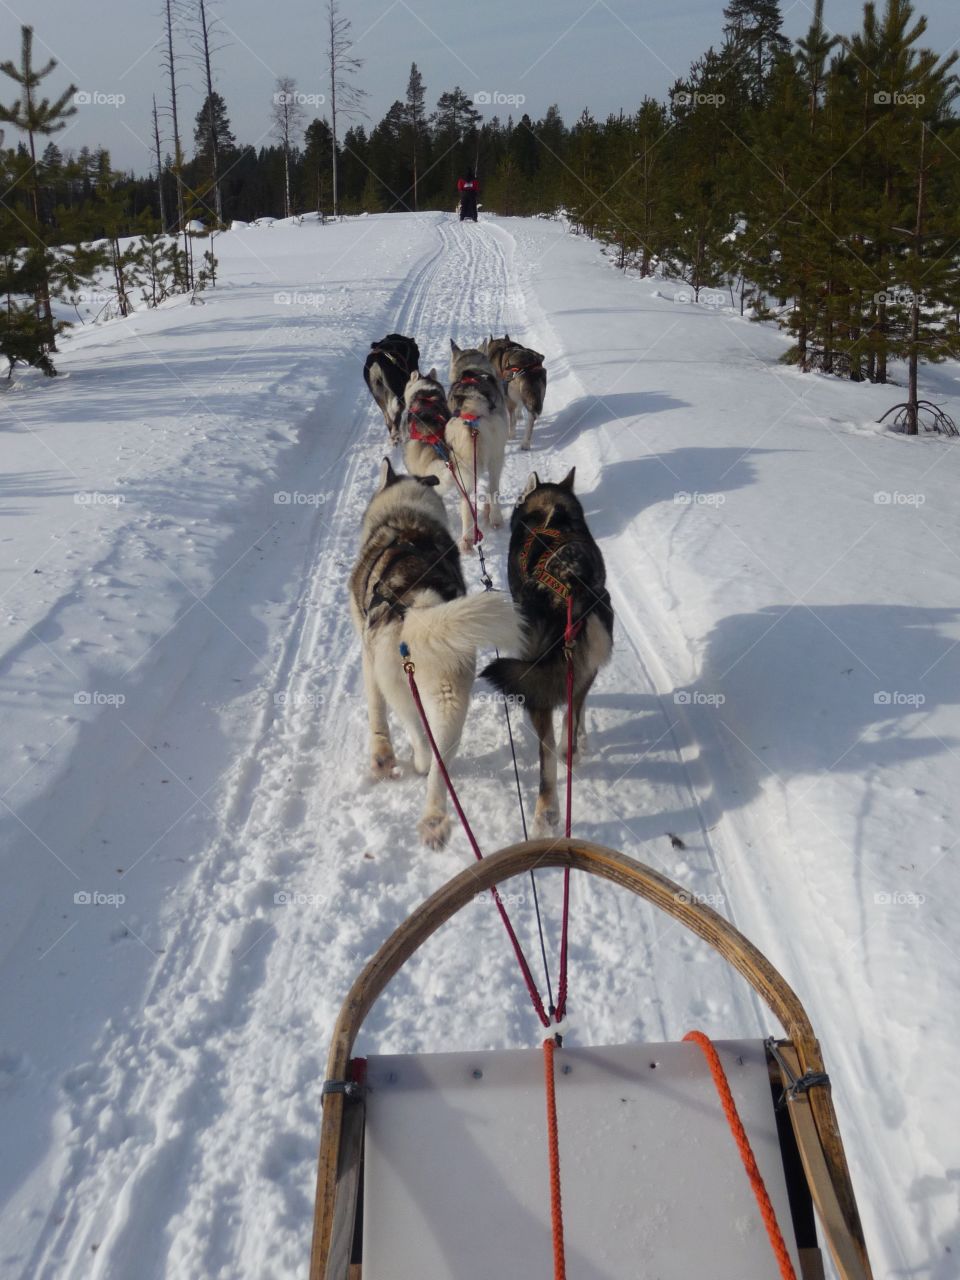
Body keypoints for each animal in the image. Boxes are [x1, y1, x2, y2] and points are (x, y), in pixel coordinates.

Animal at [350, 460, 522, 849]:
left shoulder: (368, 655)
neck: (404, 516)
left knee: (419, 738)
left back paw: (414, 766)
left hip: (403, 690)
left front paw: (381, 755)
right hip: (449, 698)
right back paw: (434, 819)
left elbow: (376, 713)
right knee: (440, 762)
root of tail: (418, 607)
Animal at [483, 468, 611, 829]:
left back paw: (546, 808)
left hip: (536, 679)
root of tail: (569, 582)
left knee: (549, 750)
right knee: (569, 719)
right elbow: (577, 710)